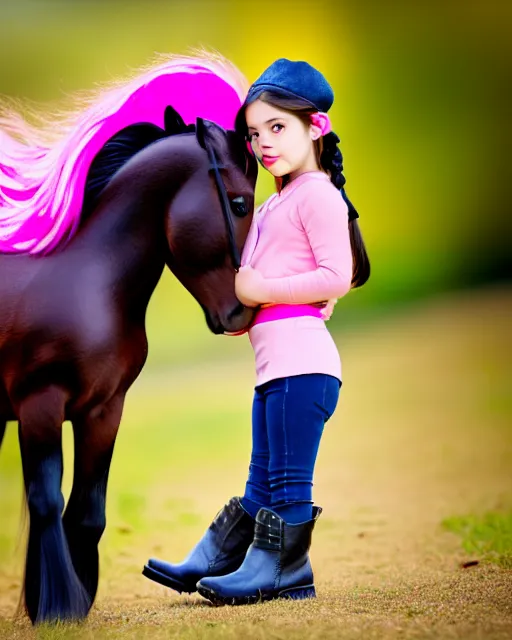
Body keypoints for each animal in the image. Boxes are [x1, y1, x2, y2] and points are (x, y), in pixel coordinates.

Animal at [0, 112, 256, 624]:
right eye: (239, 203)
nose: (244, 313)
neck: (90, 282)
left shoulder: (104, 409)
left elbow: (88, 509)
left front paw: (70, 599)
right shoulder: (40, 405)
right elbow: (46, 499)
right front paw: (58, 605)